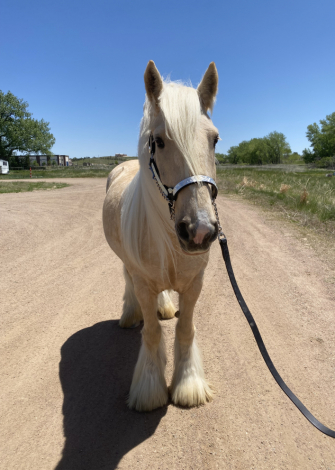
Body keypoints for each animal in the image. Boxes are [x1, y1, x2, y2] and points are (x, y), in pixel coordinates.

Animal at [103, 59, 222, 412]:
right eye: (158, 141)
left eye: (215, 140)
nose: (200, 230)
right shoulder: (143, 283)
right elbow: (153, 333)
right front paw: (150, 389)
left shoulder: (195, 283)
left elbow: (185, 328)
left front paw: (188, 384)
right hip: (128, 266)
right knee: (128, 282)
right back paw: (131, 315)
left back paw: (166, 306)